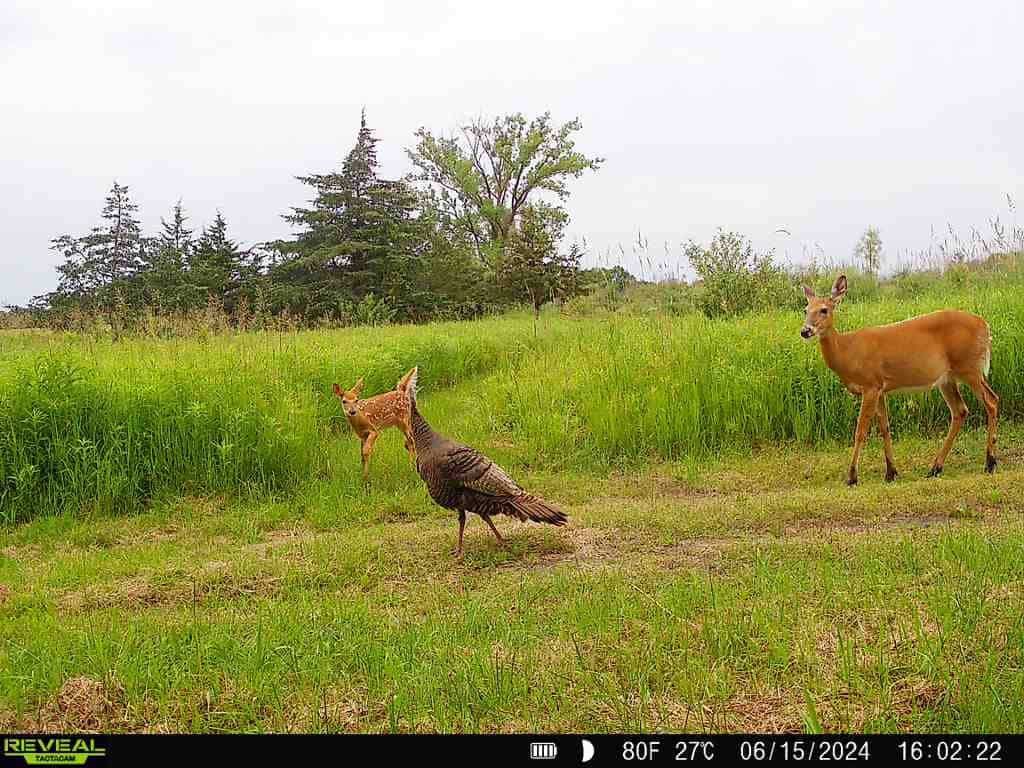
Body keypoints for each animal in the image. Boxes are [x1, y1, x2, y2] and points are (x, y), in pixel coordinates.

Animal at [801, 275, 998, 486]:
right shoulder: (880, 388)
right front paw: (891, 472)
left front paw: (852, 477)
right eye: (805, 310)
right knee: (960, 411)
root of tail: (985, 326)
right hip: (947, 378)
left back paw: (990, 462)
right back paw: (935, 468)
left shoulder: (870, 385)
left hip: (970, 367)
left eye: (824, 309)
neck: (847, 351)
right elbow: (885, 428)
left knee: (991, 401)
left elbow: (860, 431)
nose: (805, 331)